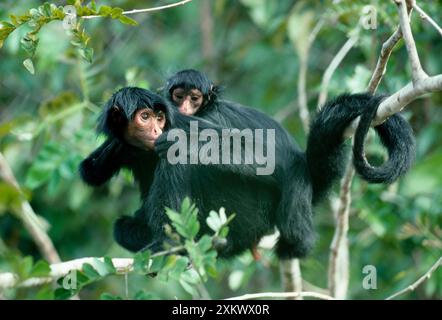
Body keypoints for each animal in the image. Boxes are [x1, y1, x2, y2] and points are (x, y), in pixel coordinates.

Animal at [78, 69, 414, 258]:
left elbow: (265, 157)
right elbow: (91, 172)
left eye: (158, 118)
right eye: (145, 117)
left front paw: (178, 144)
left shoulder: (195, 120)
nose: (156, 129)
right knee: (123, 227)